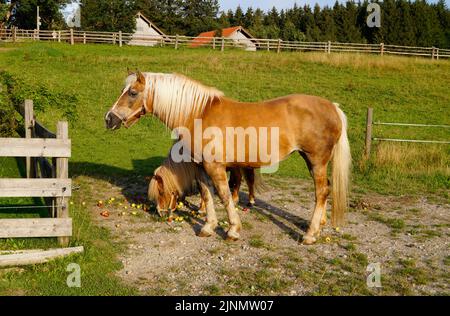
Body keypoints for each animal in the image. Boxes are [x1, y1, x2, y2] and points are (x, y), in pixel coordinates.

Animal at [106, 71, 352, 244]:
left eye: (133, 93)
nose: (109, 119)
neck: (198, 114)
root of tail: (333, 107)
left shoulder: (216, 167)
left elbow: (224, 196)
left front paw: (233, 230)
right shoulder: (201, 168)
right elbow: (207, 194)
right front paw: (208, 227)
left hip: (316, 160)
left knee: (321, 191)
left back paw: (310, 234)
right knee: (325, 189)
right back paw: (318, 224)